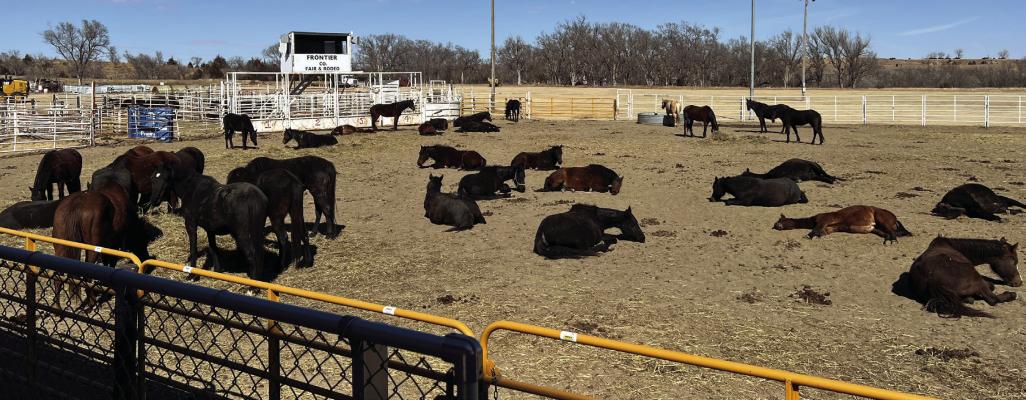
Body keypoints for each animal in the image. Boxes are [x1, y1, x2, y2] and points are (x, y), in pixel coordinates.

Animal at [773, 206, 912, 244]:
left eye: (779, 221)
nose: (776, 227)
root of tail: (894, 217)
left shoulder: (823, 220)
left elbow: (816, 229)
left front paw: (810, 235)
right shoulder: (827, 229)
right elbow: (820, 232)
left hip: (882, 219)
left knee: (892, 232)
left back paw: (892, 241)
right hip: (875, 228)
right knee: (887, 233)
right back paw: (888, 240)